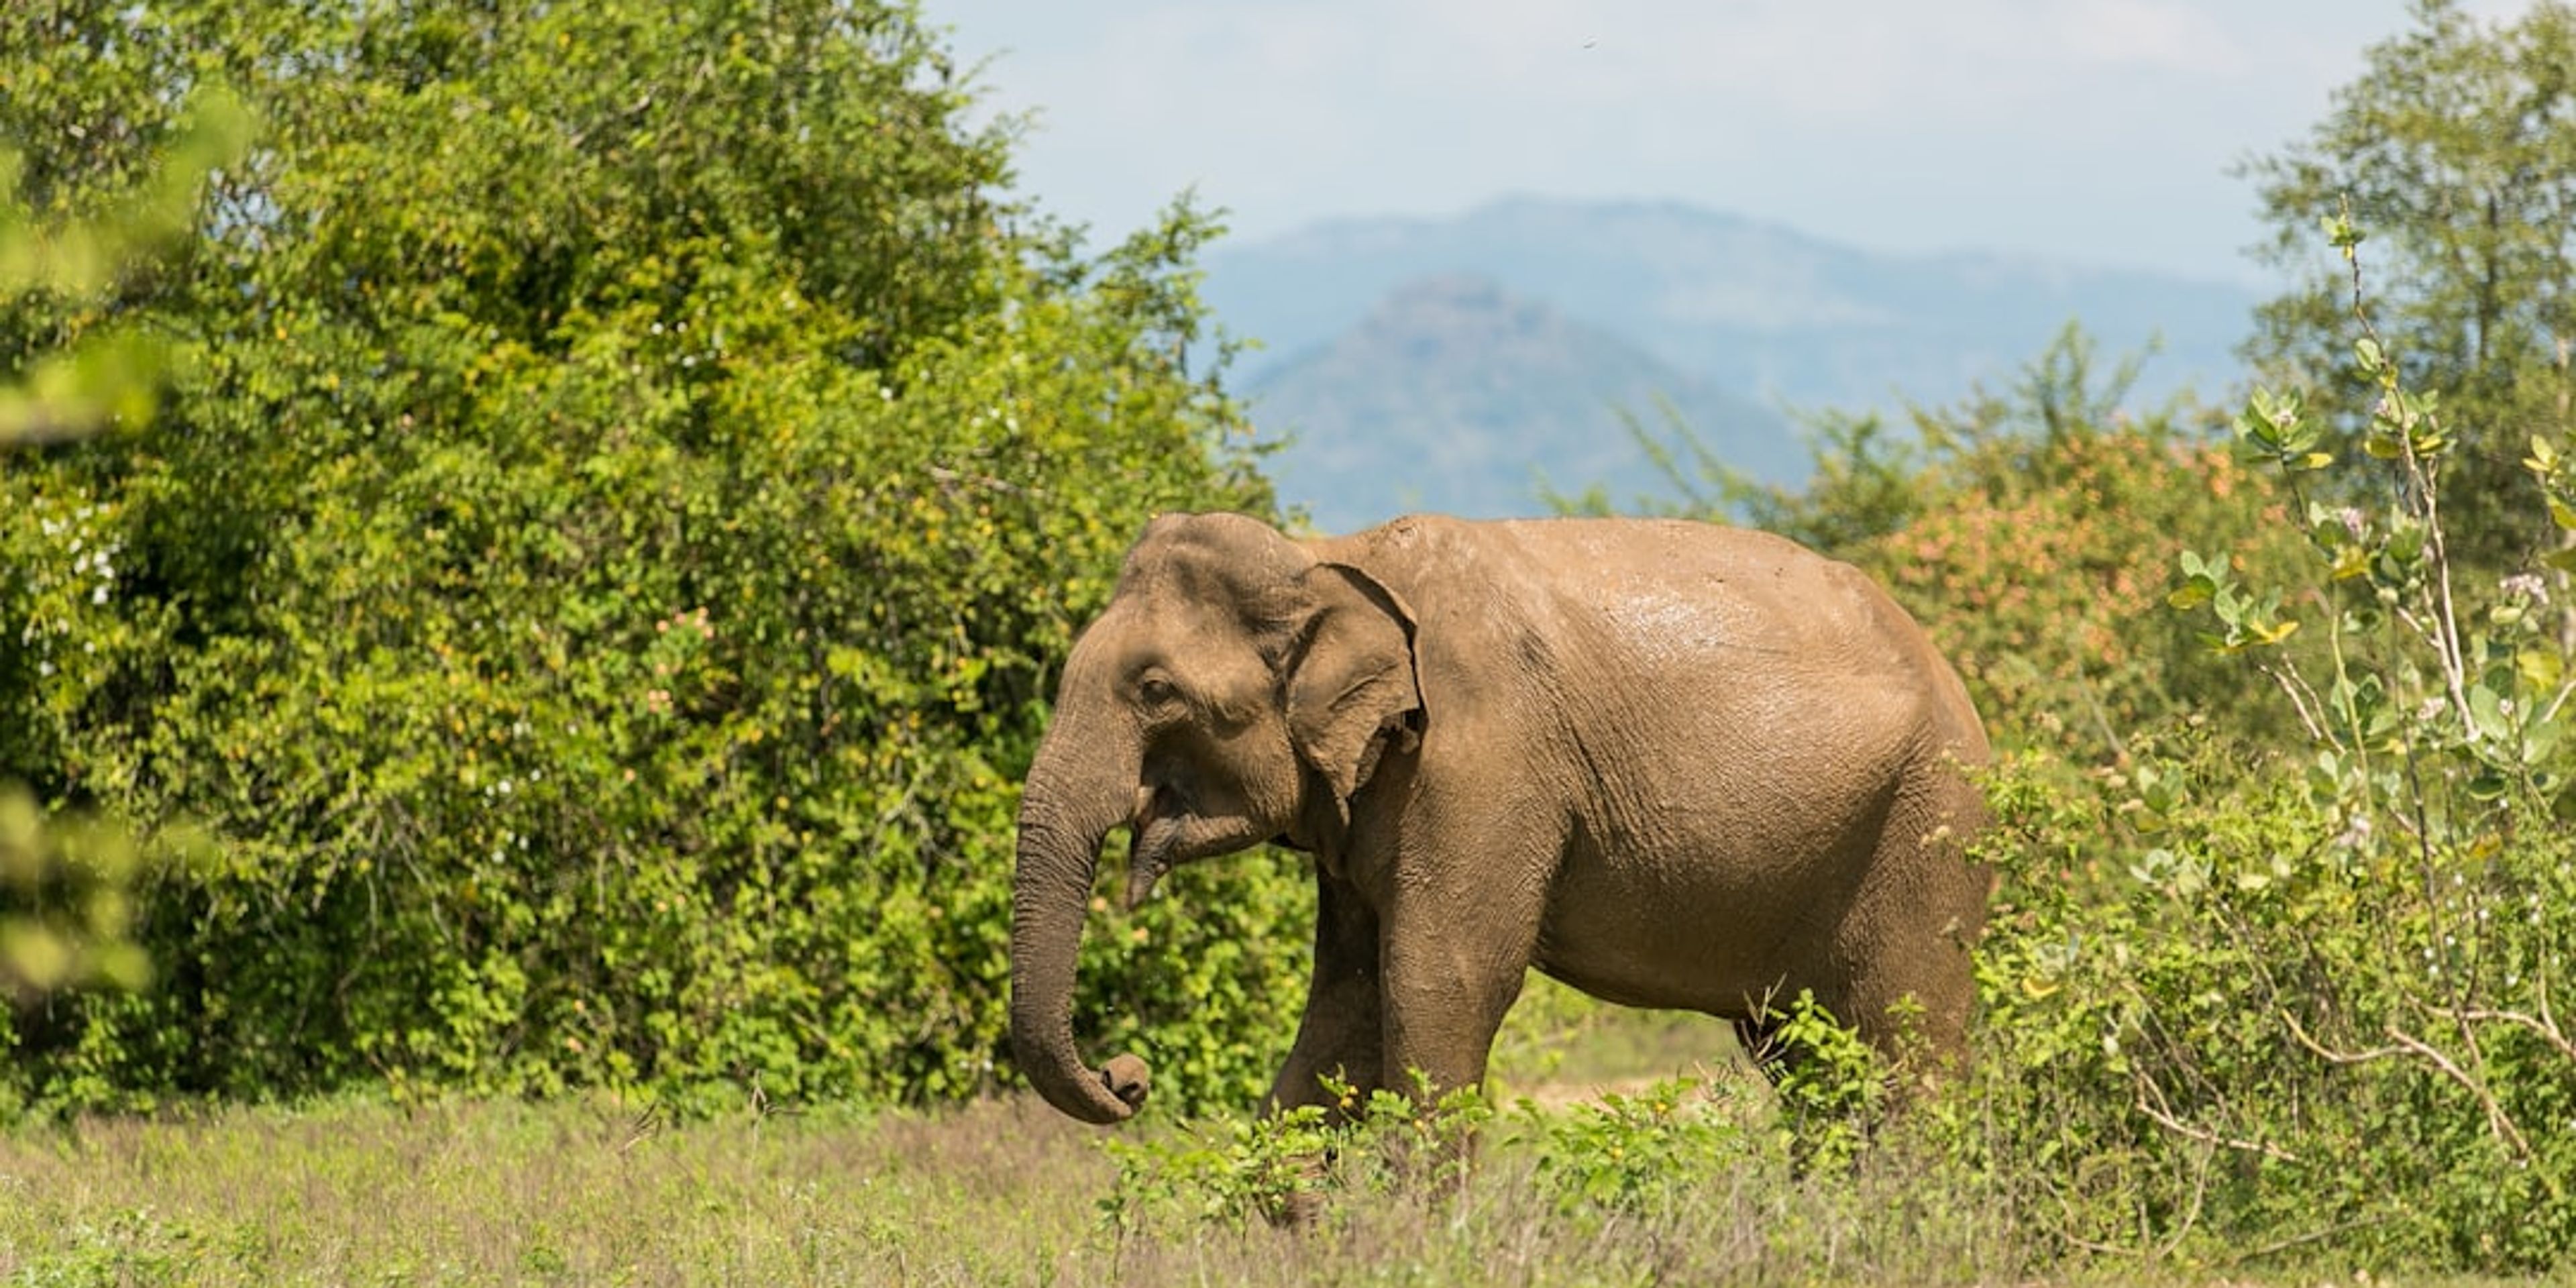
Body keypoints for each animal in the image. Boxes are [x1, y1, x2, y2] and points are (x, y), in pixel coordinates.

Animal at [1009, 511, 1991, 1127]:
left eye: (1156, 691)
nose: (1127, 1076)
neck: (1327, 556)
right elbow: (1344, 1003)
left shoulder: (1481, 761)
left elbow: (1440, 982)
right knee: (1806, 1055)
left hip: (1929, 829)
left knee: (1906, 1039)